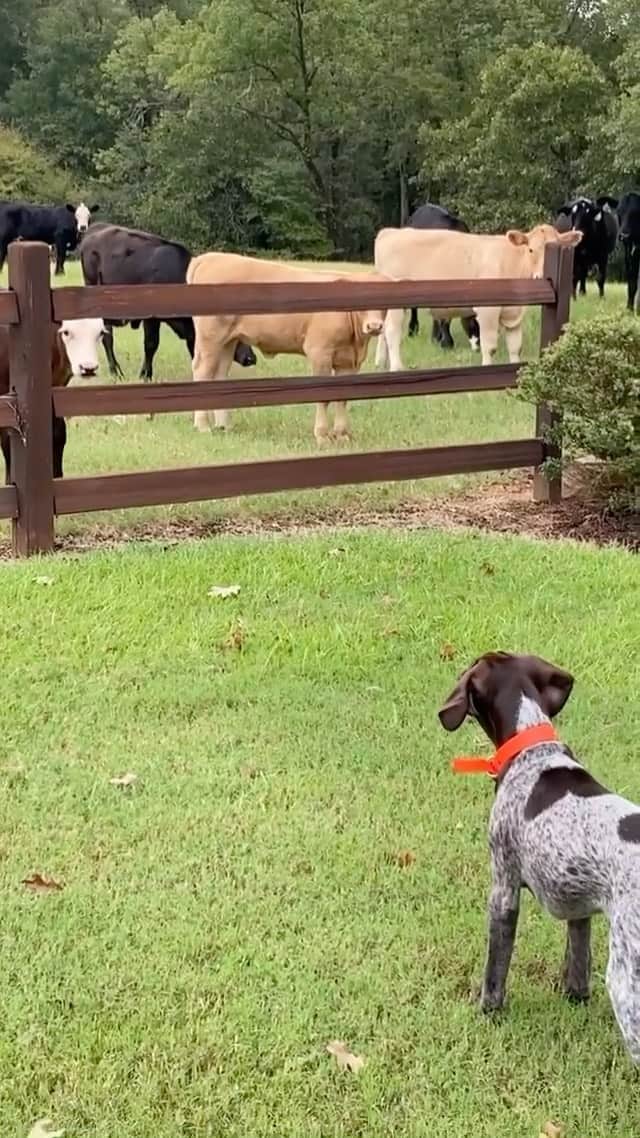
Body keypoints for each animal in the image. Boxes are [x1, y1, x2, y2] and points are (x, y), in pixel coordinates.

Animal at [79, 222, 256, 381]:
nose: (251, 358)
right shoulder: (151, 318)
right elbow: (151, 344)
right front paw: (146, 375)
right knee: (107, 338)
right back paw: (116, 372)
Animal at [187, 252, 387, 443]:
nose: (374, 326)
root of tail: (209, 257)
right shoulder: (320, 353)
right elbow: (324, 397)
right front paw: (322, 436)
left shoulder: (348, 361)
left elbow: (343, 398)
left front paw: (342, 435)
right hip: (210, 338)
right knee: (202, 371)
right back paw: (203, 426)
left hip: (228, 341)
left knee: (219, 374)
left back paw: (224, 426)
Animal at [374, 224, 582, 371]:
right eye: (530, 249)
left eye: (558, 247)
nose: (541, 276)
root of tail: (389, 232)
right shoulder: (488, 311)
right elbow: (489, 346)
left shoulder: (514, 313)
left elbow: (516, 347)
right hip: (396, 304)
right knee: (392, 332)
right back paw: (396, 367)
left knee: (383, 333)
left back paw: (380, 363)